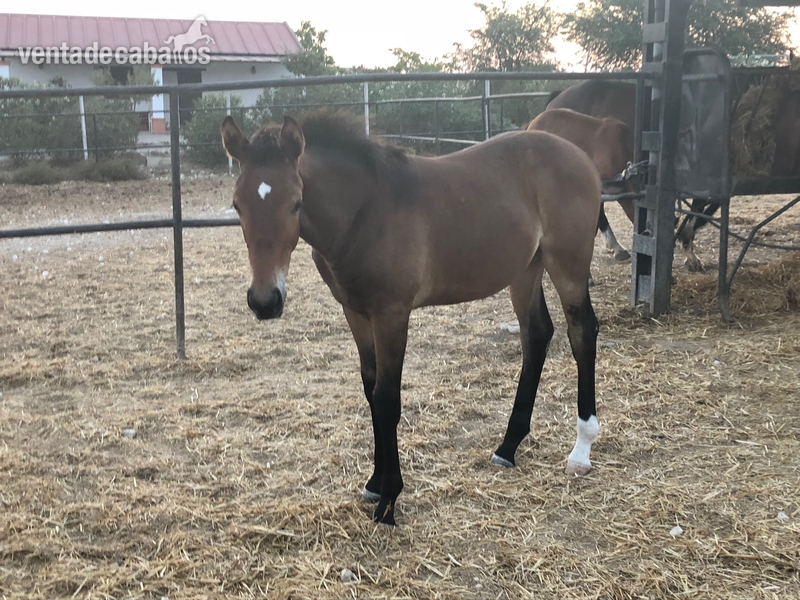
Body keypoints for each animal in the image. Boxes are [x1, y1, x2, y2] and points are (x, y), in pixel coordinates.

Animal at [221, 111, 603, 526]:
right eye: (237, 205)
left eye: (296, 202)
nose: (265, 301)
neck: (365, 212)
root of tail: (580, 156)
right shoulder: (355, 311)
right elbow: (370, 389)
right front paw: (374, 483)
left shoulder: (392, 313)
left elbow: (387, 398)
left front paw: (389, 500)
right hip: (526, 269)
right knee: (536, 334)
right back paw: (508, 446)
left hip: (567, 265)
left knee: (582, 332)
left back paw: (581, 449)